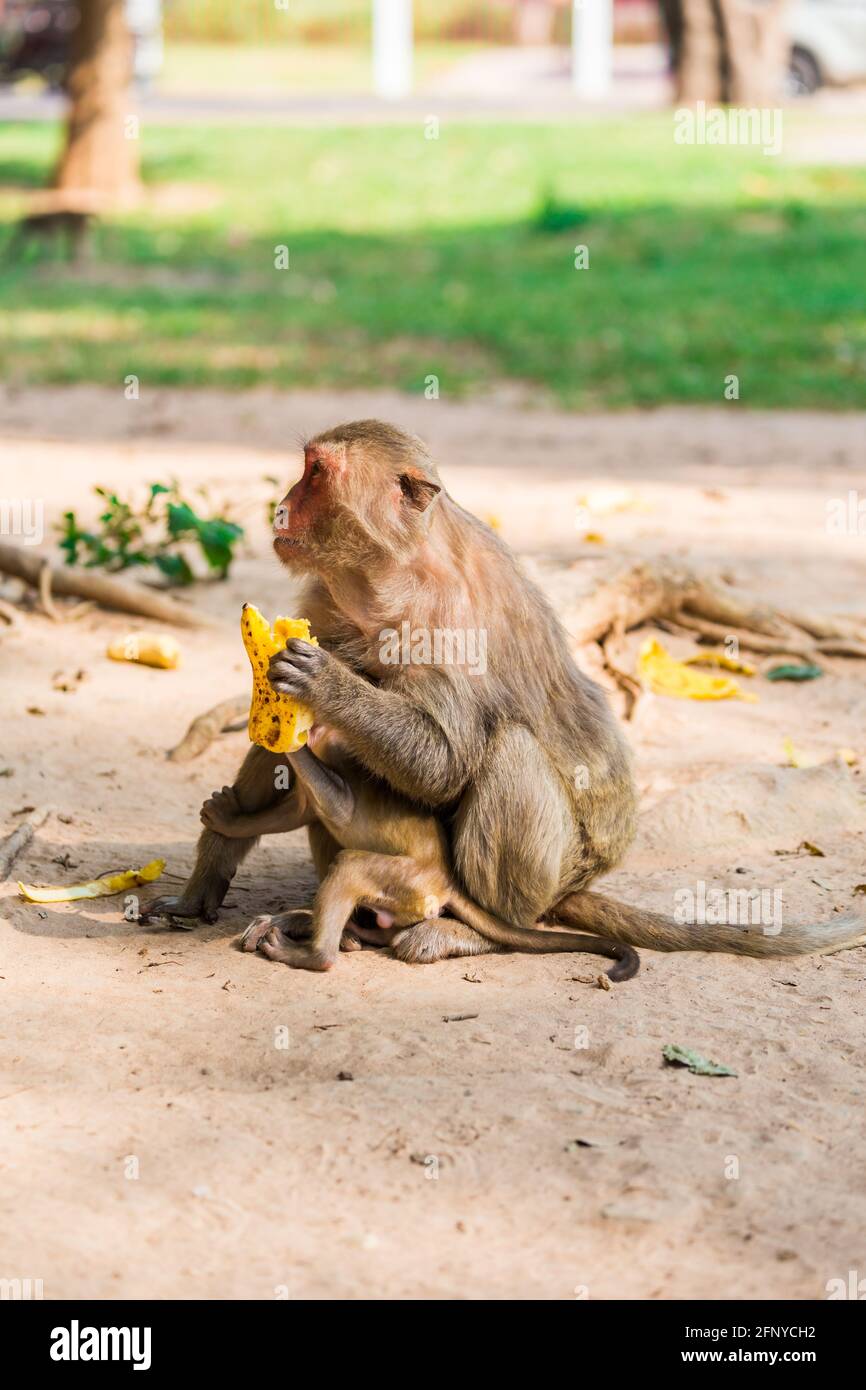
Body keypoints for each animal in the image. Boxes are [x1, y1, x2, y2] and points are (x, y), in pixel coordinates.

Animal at [196, 725, 640, 981]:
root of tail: (446, 880)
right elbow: (299, 810)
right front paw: (230, 821)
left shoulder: (337, 756)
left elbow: (337, 803)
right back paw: (352, 934)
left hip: (409, 880)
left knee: (350, 866)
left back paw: (316, 955)